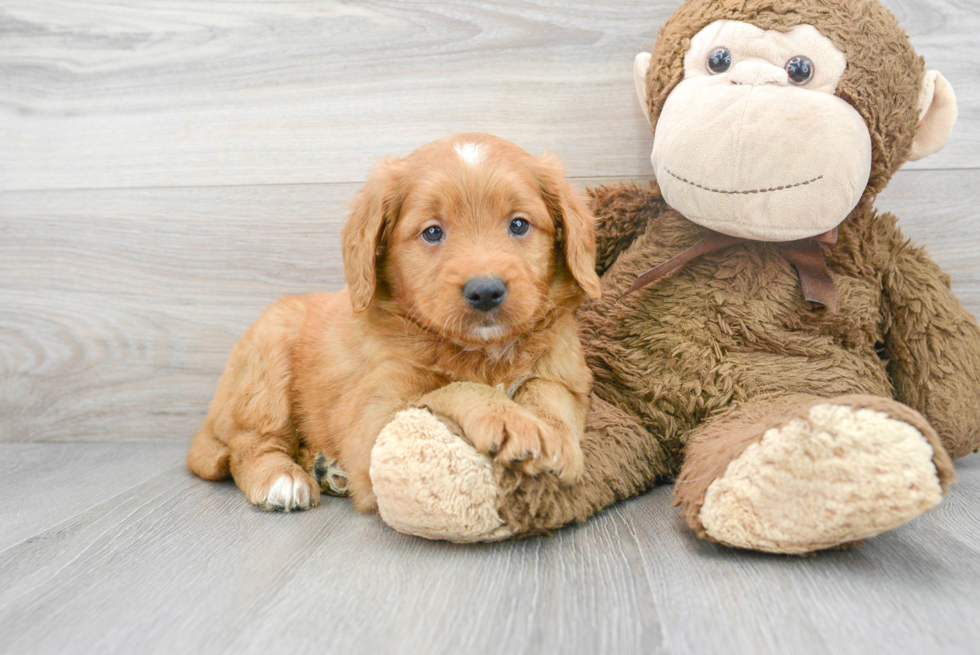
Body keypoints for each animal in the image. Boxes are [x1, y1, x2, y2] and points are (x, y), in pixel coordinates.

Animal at [182, 133, 596, 512]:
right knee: (248, 444)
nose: (485, 291)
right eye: (432, 232)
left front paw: (556, 439)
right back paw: (282, 480)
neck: (481, 353)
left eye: (519, 225)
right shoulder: (374, 417)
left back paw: (325, 467)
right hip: (267, 359)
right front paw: (510, 421)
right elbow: (449, 389)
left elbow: (548, 392)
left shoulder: (566, 376)